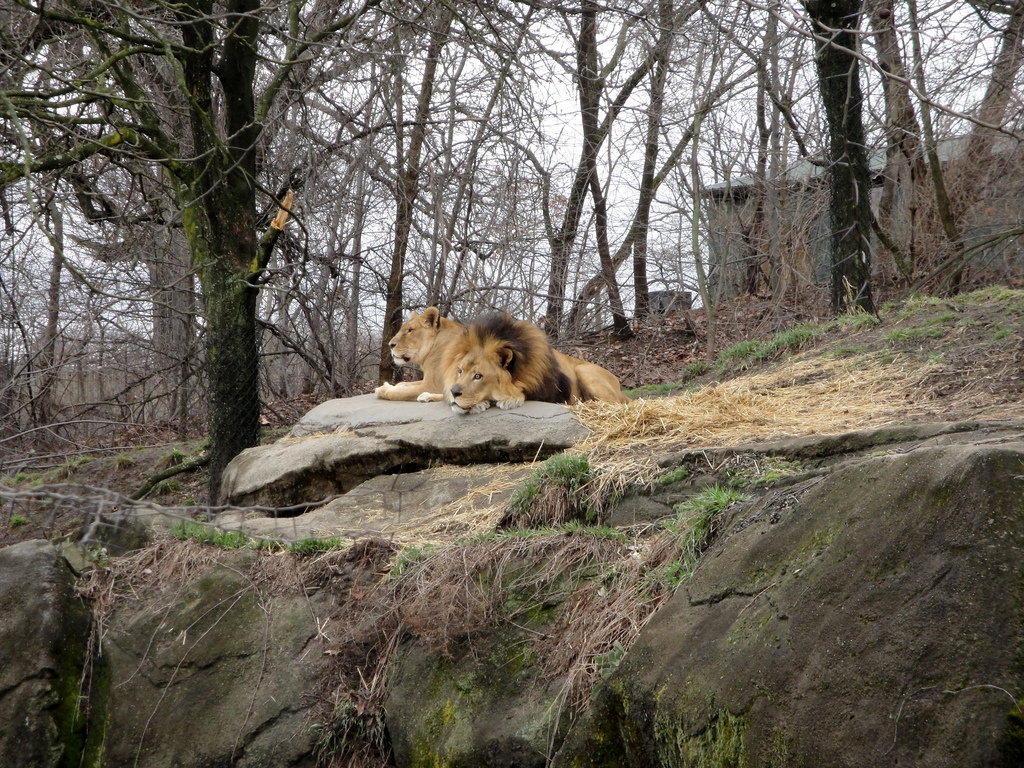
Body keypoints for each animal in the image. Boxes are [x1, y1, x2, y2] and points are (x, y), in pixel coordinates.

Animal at [444, 313, 630, 415]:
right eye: (459, 370)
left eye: (478, 376)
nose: (454, 392)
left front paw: (509, 400)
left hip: (585, 371)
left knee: (614, 403)